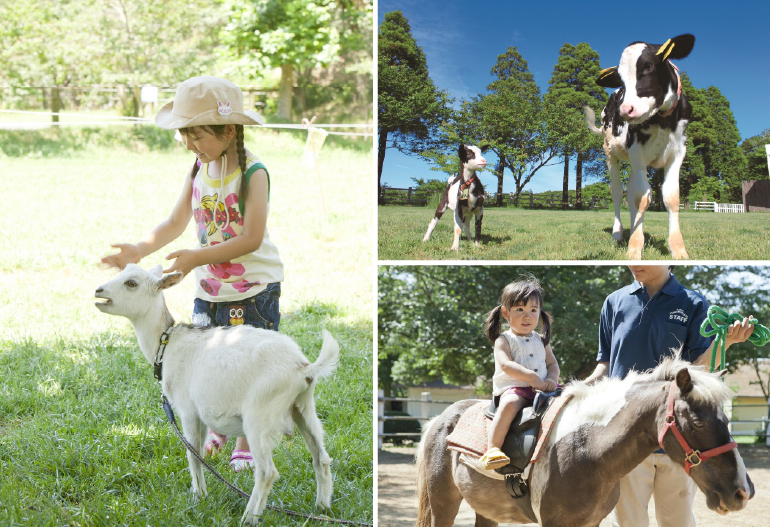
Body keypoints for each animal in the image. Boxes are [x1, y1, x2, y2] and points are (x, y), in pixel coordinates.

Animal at [94, 266, 338, 524]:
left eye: (131, 283)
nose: (98, 291)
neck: (167, 345)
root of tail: (303, 368)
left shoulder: (189, 410)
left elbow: (193, 454)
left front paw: (199, 496)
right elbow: (199, 452)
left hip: (260, 415)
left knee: (267, 471)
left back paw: (249, 517)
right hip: (304, 407)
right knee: (320, 458)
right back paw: (322, 508)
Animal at [416, 356, 752, 524]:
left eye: (726, 421)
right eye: (697, 422)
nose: (741, 492)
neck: (587, 450)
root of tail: (440, 421)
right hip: (443, 504)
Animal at [584, 33, 692, 260]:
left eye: (648, 66)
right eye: (621, 78)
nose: (626, 110)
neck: (663, 121)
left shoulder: (677, 153)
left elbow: (670, 198)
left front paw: (678, 249)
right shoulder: (637, 152)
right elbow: (642, 199)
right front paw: (634, 248)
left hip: (633, 163)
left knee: (631, 192)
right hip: (611, 154)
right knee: (618, 192)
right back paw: (618, 232)